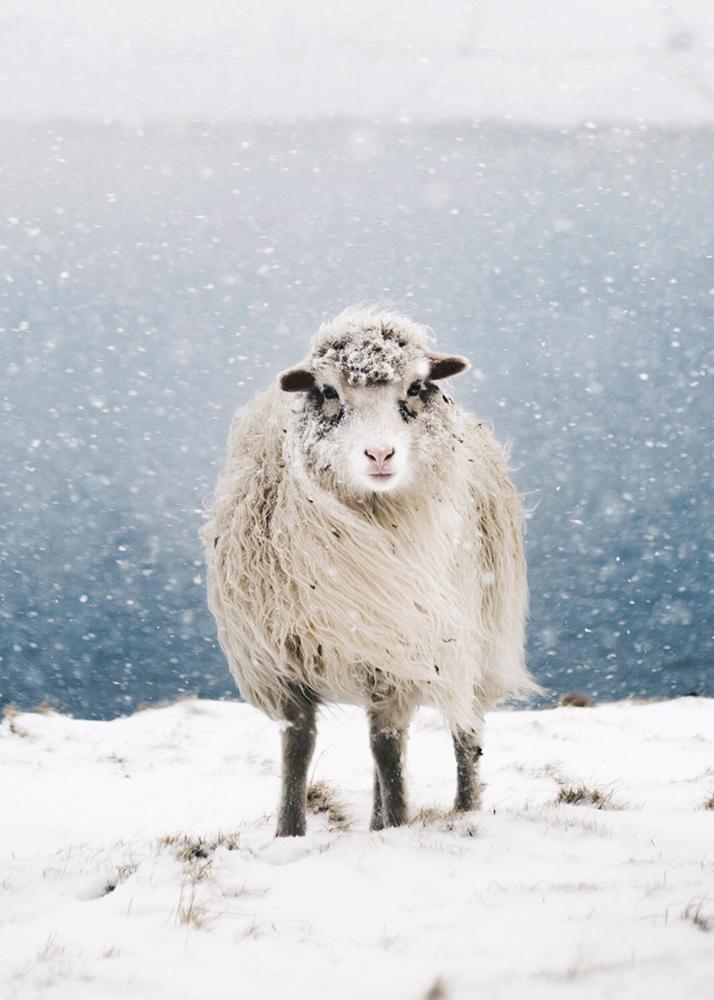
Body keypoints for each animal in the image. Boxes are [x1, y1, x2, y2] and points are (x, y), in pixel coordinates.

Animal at [202, 306, 538, 836]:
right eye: (329, 392)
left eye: (416, 387)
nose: (380, 455)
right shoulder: (282, 658)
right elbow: (299, 745)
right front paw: (289, 833)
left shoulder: (401, 648)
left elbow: (387, 746)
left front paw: (397, 828)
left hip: (475, 641)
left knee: (464, 728)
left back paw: (464, 807)